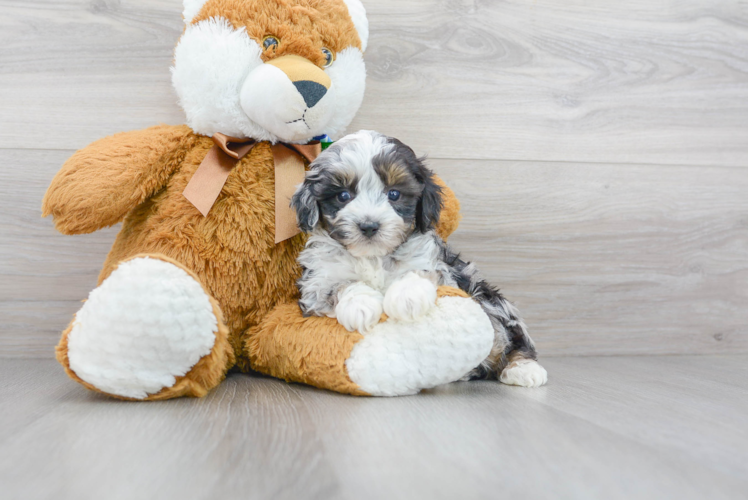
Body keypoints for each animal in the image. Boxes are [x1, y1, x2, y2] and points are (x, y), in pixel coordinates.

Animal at [292, 130, 548, 386]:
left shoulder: (440, 268)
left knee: (511, 334)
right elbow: (340, 285)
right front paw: (360, 305)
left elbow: (420, 272)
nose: (369, 226)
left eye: (394, 194)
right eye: (343, 195)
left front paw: (408, 296)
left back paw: (523, 368)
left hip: (488, 298)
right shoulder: (317, 284)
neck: (375, 256)